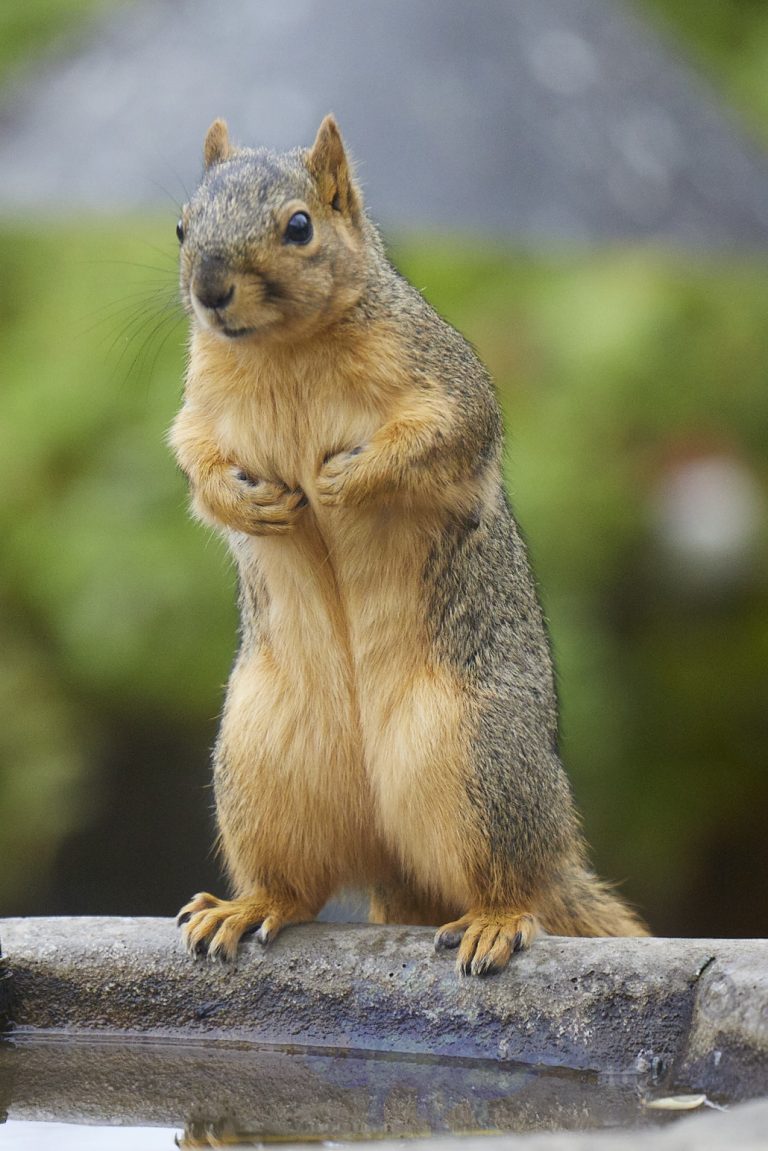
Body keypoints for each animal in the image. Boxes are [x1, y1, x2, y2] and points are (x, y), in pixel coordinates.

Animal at [171, 114, 648, 976]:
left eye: (300, 226)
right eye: (183, 227)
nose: (211, 290)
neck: (283, 350)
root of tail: (389, 855)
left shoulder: (441, 380)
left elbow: (445, 436)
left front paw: (345, 485)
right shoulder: (199, 408)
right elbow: (194, 461)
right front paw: (249, 501)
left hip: (479, 760)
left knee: (515, 881)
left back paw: (496, 918)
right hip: (264, 765)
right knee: (293, 883)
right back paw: (247, 905)